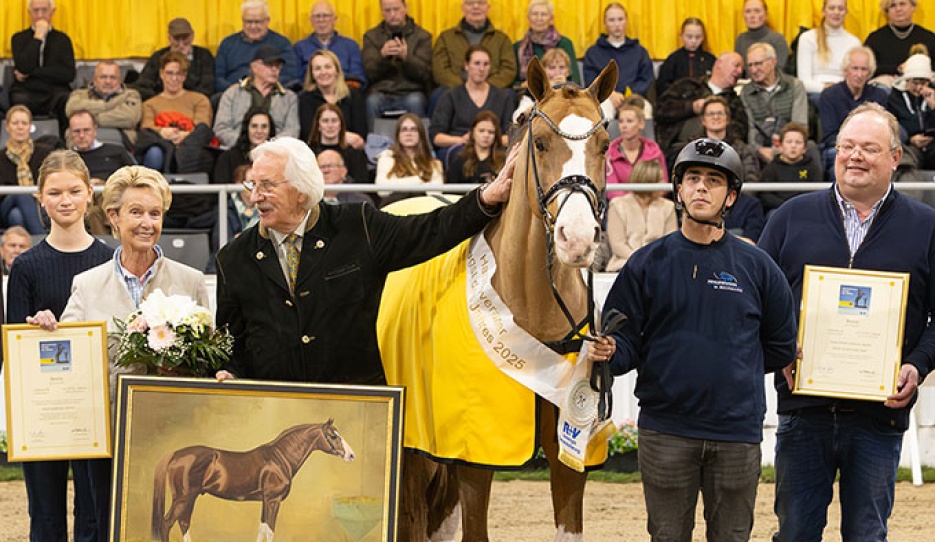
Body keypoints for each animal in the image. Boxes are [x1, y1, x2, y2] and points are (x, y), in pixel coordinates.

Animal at [151, 419, 355, 542]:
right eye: (333, 436)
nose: (351, 455)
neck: (279, 458)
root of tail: (175, 454)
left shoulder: (265, 500)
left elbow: (262, 528)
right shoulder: (273, 500)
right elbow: (270, 530)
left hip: (190, 498)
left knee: (183, 523)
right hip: (183, 498)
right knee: (167, 523)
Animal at [378, 57, 618, 541]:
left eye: (604, 145)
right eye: (540, 142)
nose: (578, 239)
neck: (532, 311)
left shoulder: (571, 446)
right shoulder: (475, 454)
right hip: (414, 449)